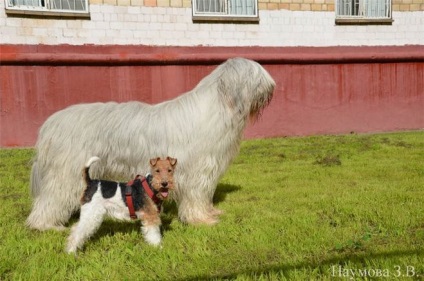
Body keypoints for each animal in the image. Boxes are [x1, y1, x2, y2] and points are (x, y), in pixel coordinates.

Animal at [28, 57, 276, 230]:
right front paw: (202, 219)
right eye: (257, 75)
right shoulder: (197, 171)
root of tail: (50, 124)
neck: (221, 105)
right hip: (66, 172)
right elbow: (196, 196)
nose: (273, 87)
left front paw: (210, 213)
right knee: (51, 199)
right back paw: (46, 225)